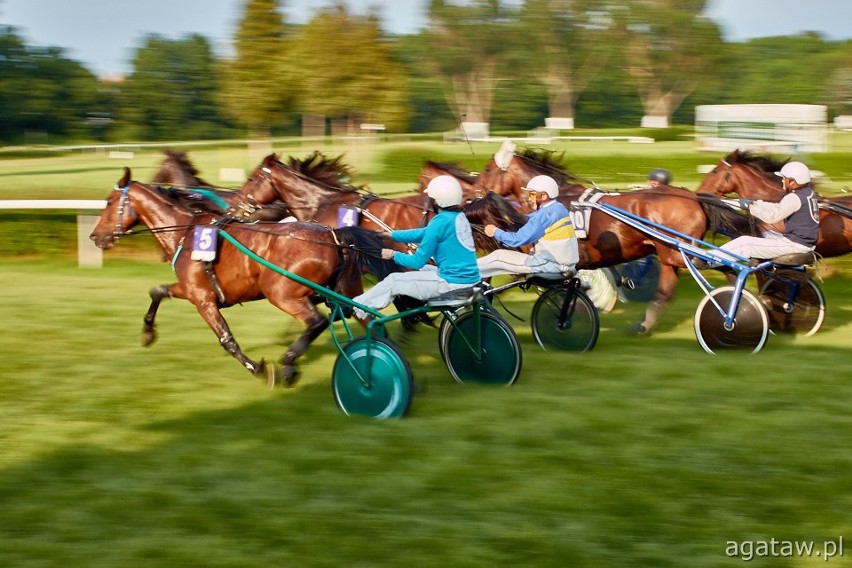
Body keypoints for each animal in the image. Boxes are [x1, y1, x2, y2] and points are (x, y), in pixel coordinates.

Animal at [91, 168, 412, 386]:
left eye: (108, 201)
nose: (95, 236)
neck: (185, 231)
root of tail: (334, 235)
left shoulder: (203, 299)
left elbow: (226, 339)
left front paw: (258, 368)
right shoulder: (190, 289)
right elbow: (157, 291)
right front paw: (147, 332)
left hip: (282, 293)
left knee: (316, 322)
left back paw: (288, 363)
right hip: (345, 289)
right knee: (367, 319)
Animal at [476, 145, 756, 332]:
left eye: (488, 169)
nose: (473, 193)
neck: (557, 198)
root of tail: (694, 197)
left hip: (678, 252)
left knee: (719, 265)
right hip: (668, 255)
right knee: (666, 291)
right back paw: (645, 324)